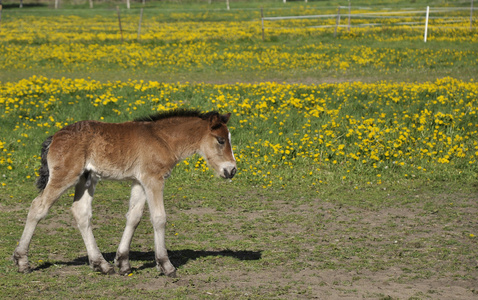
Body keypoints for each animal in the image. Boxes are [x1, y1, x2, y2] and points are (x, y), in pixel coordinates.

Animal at [14, 109, 238, 278]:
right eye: (220, 140)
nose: (231, 170)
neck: (162, 139)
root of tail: (54, 137)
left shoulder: (139, 182)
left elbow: (134, 217)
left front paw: (122, 263)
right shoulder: (153, 179)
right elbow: (159, 218)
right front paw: (166, 265)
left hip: (87, 178)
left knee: (81, 212)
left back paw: (101, 265)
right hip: (65, 175)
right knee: (38, 207)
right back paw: (22, 261)